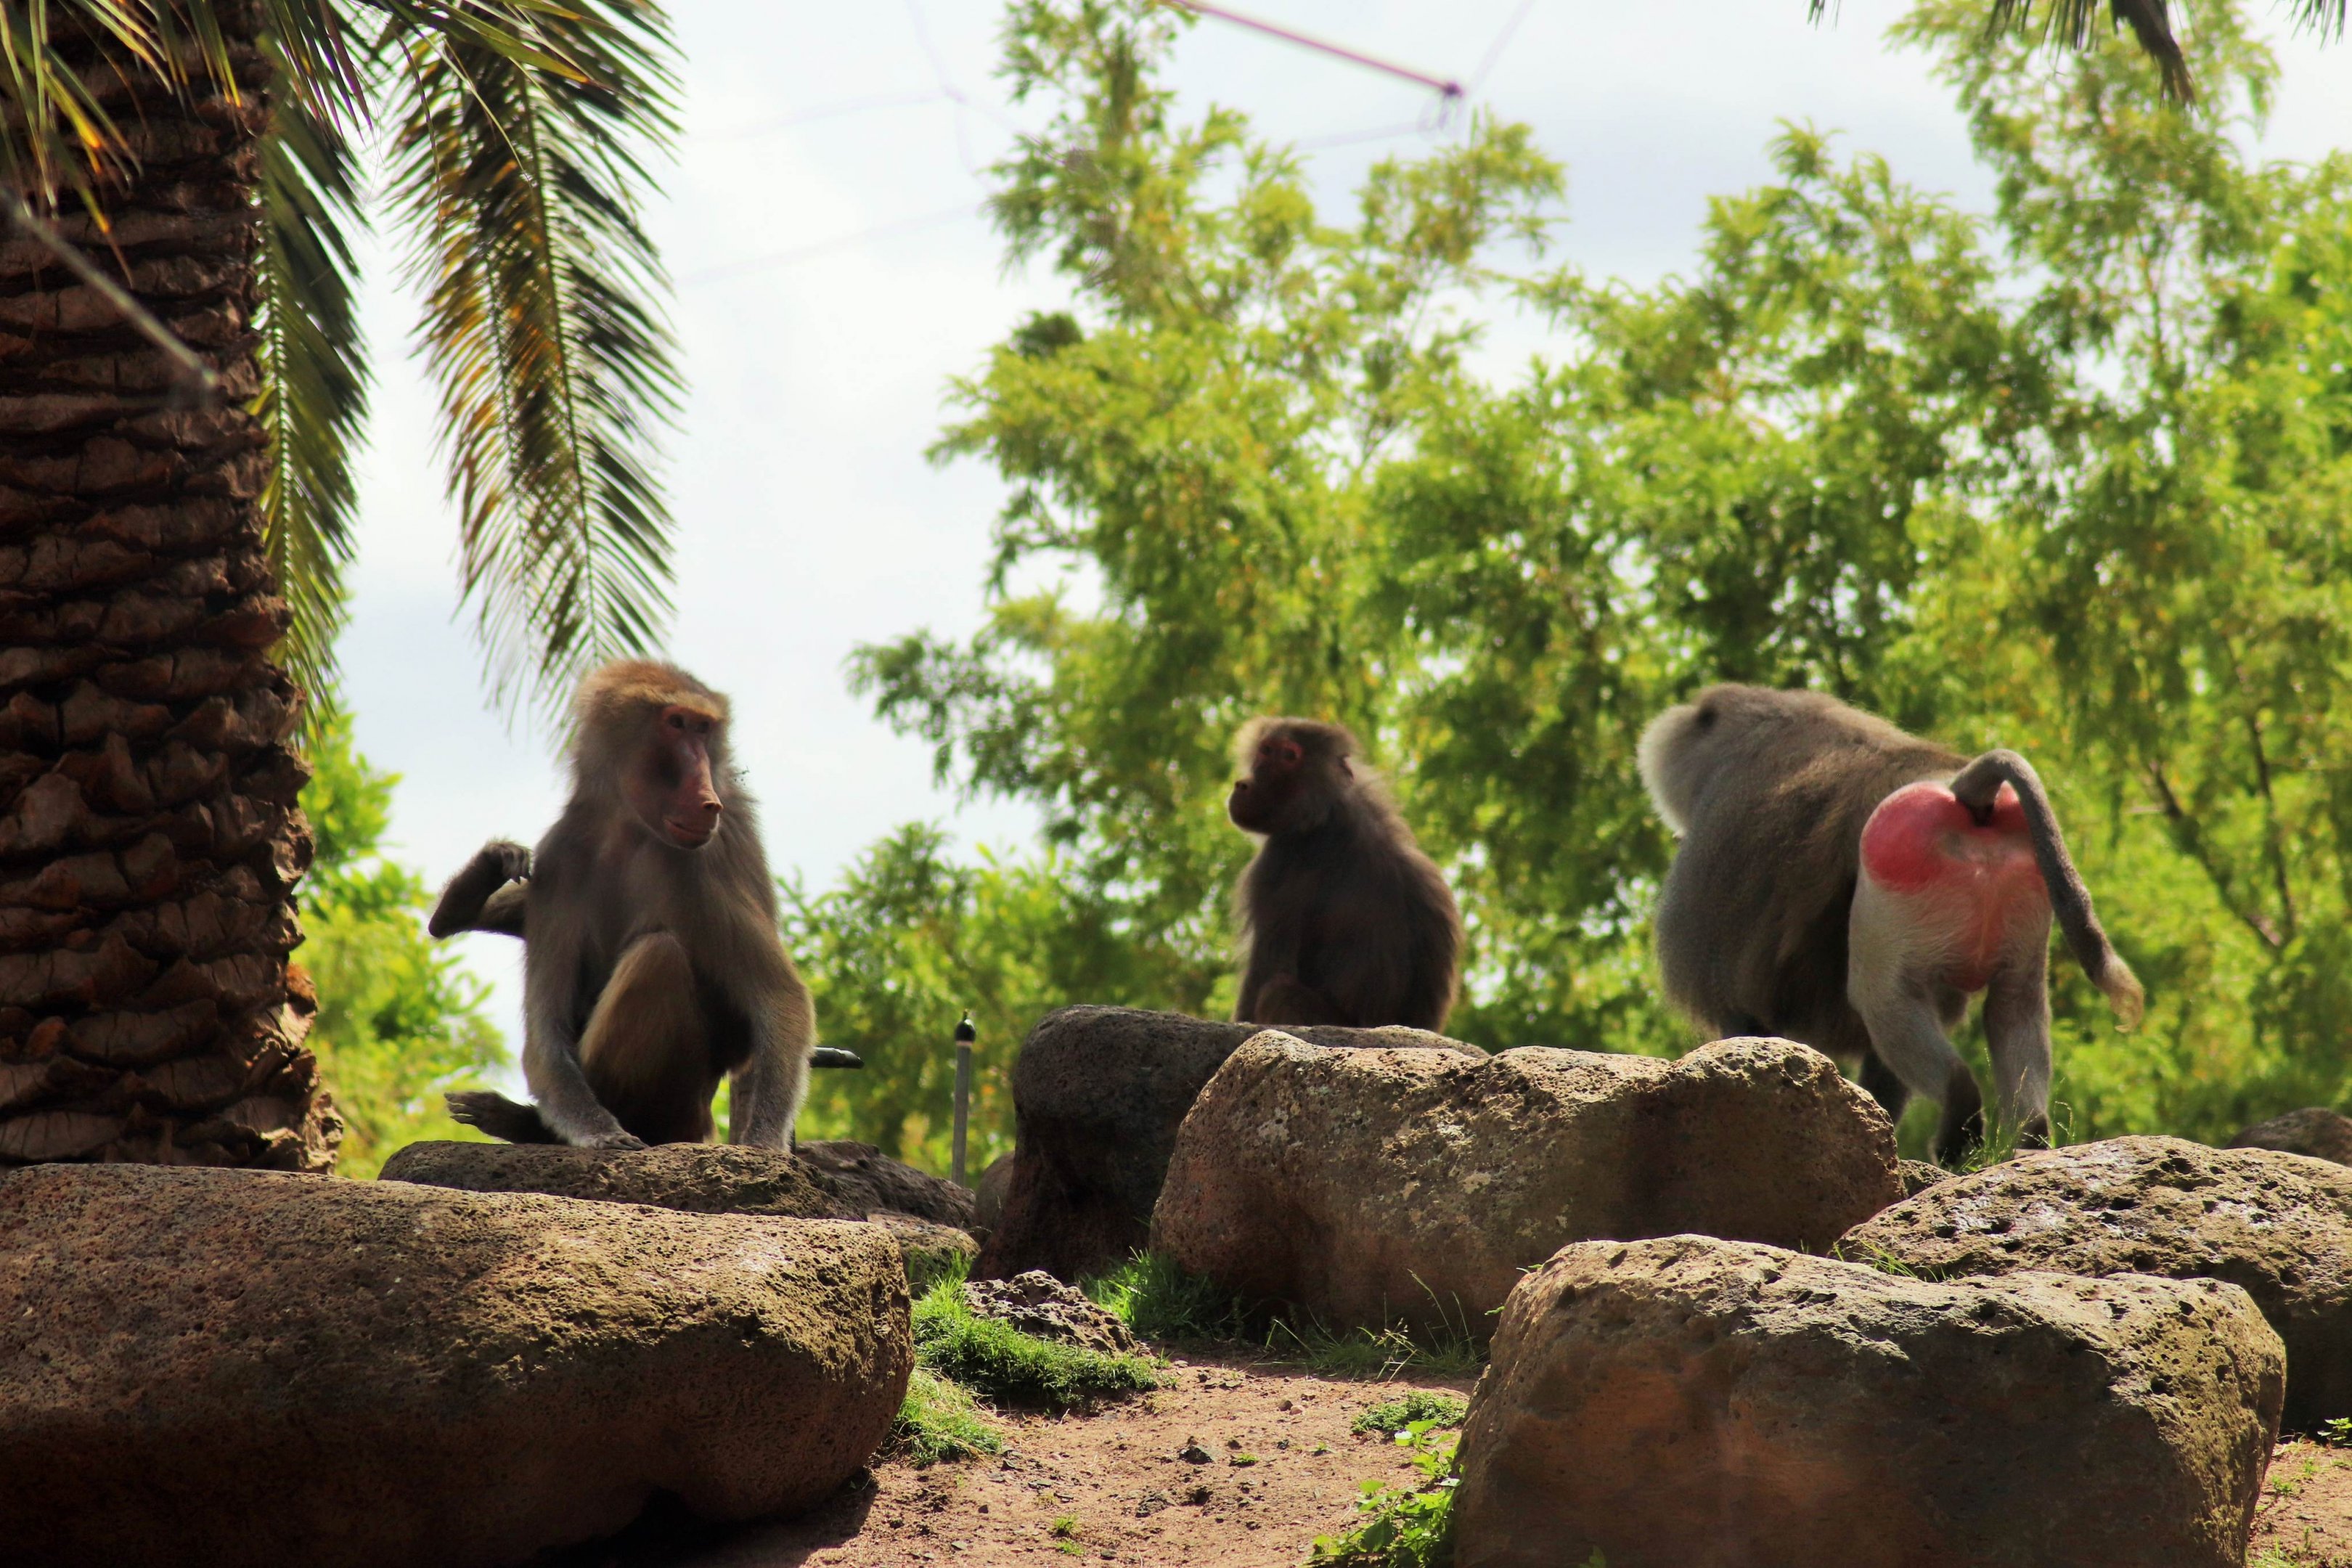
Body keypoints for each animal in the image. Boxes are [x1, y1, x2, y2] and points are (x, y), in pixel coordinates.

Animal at [428, 660, 816, 1150]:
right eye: (677, 724)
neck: (629, 828)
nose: (709, 801)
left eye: (704, 728)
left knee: (658, 957)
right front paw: (599, 1133)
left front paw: (762, 1145)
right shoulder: (560, 856)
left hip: (679, 1099)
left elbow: (781, 1000)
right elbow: (546, 1031)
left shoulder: (708, 864)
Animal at [1227, 717, 1462, 1033]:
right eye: (1265, 750)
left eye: (1289, 756)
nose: (1243, 785)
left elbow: (1265, 972)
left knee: (1279, 991)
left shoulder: (1279, 861)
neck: (1325, 809)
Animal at [1637, 683, 2143, 1164]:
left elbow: (1745, 1021)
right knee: (2014, 1003)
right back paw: (2028, 1139)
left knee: (1884, 1000)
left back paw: (1958, 1118)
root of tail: (1965, 787)